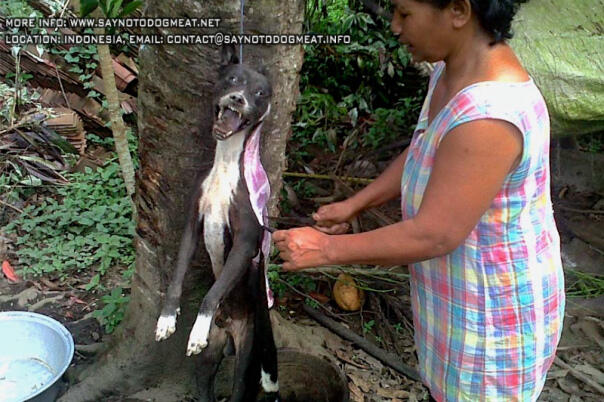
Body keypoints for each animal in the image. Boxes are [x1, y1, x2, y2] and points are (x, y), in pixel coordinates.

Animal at [155, 44, 280, 402]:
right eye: (233, 79)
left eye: (260, 93)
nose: (238, 99)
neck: (226, 163)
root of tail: (230, 328)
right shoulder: (192, 227)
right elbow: (177, 276)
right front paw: (167, 318)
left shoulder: (245, 244)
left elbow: (212, 293)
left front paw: (197, 328)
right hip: (210, 360)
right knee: (204, 385)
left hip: (248, 362)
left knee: (239, 389)